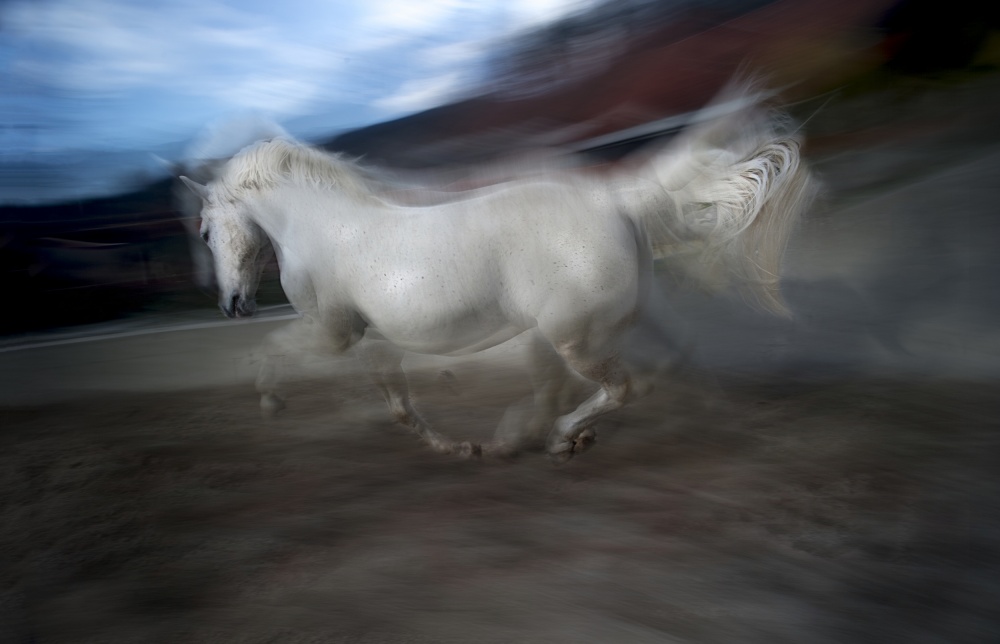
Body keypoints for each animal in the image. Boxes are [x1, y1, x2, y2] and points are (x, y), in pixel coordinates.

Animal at [184, 92, 816, 462]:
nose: (233, 304)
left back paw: (557, 436)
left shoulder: (331, 332)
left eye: (206, 232)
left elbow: (273, 346)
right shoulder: (370, 338)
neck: (322, 228)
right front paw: (454, 446)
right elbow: (397, 401)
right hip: (613, 319)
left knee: (619, 387)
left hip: (573, 335)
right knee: (668, 360)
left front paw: (271, 401)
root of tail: (614, 197)